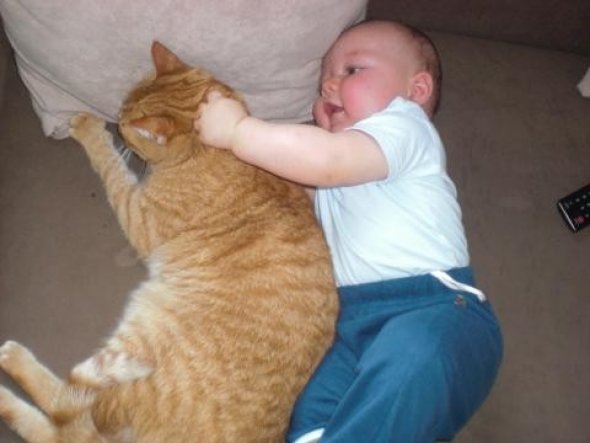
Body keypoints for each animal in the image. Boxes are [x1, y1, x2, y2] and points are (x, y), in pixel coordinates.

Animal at [0, 41, 338, 443]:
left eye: (124, 123)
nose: (115, 122)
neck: (206, 149)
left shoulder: (137, 213)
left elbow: (111, 166)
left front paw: (89, 129)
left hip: (141, 335)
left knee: (67, 403)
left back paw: (12, 358)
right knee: (59, 428)